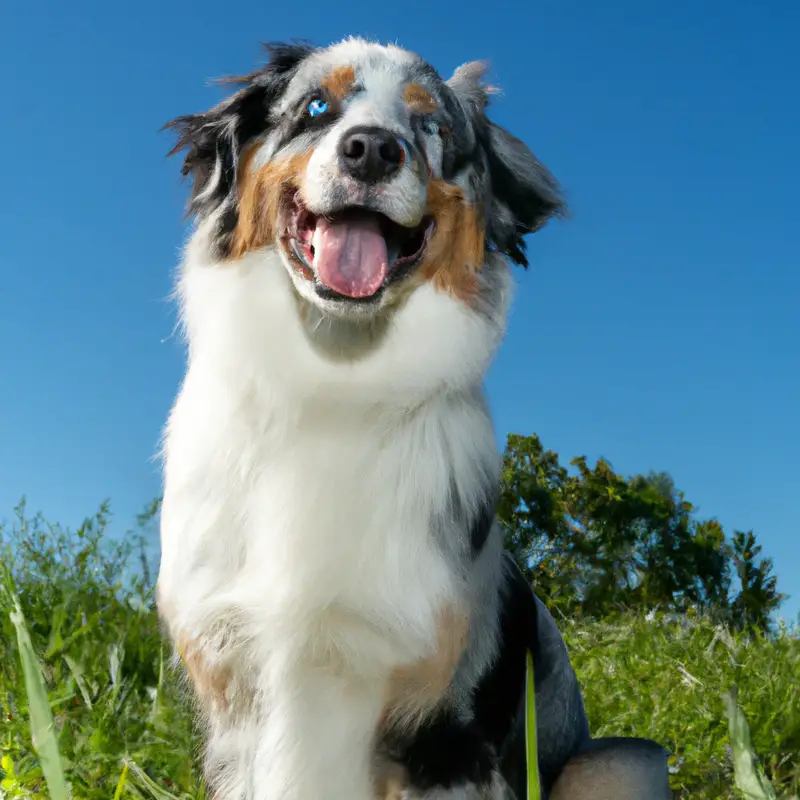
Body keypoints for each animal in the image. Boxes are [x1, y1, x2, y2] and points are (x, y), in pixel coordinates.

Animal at [155, 34, 668, 796]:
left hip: (621, 757)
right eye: (316, 107)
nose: (371, 149)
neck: (337, 376)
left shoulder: (439, 730)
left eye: (434, 127)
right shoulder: (233, 684)